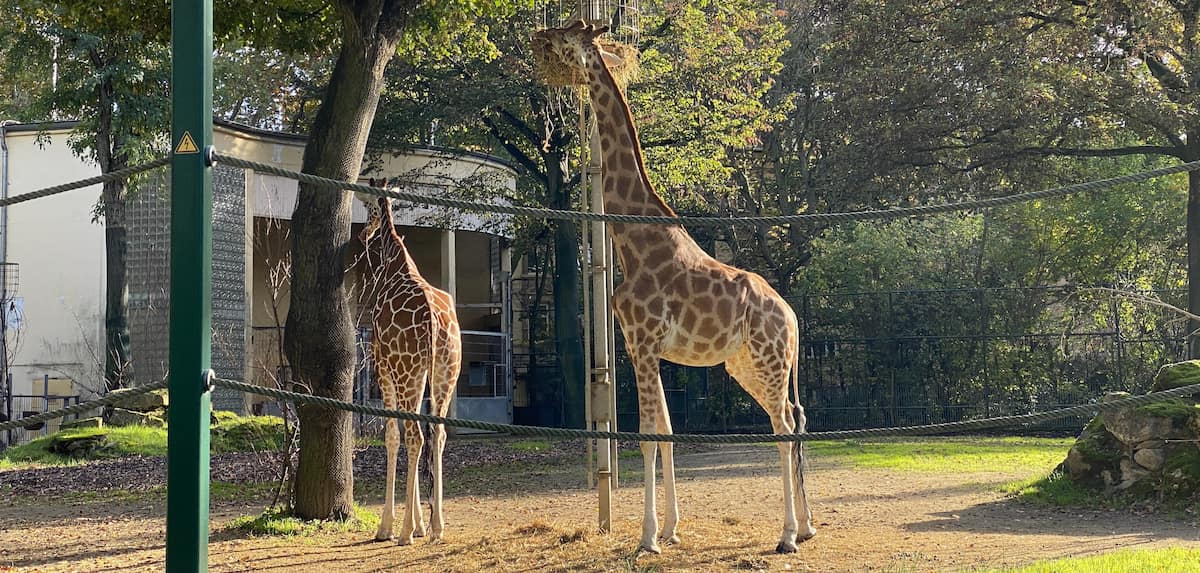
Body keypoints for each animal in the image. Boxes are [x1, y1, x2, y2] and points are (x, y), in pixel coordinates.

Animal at [352, 179, 460, 546]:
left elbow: (391, 437)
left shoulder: (383, 365)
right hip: (444, 372)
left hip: (406, 370)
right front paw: (421, 524)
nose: (362, 235)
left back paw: (401, 533)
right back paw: (438, 526)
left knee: (414, 435)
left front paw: (392, 526)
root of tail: (433, 321)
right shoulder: (421, 374)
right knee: (437, 434)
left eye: (367, 205)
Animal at [535, 23, 816, 556]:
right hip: (747, 365)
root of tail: (793, 319)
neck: (630, 239)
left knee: (785, 426)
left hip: (768, 360)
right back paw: (809, 525)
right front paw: (670, 528)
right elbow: (666, 430)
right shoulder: (639, 346)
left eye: (565, 35)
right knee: (797, 418)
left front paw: (648, 538)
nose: (539, 37)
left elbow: (648, 435)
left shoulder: (644, 341)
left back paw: (788, 534)